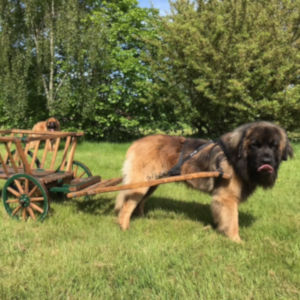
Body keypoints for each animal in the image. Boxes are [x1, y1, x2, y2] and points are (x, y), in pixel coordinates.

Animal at [115, 122, 292, 241]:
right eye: (255, 145)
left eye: (274, 146)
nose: (266, 161)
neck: (238, 158)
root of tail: (136, 143)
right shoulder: (226, 197)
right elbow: (232, 220)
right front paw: (236, 241)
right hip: (141, 183)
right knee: (127, 205)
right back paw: (124, 227)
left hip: (152, 183)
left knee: (139, 202)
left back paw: (141, 217)